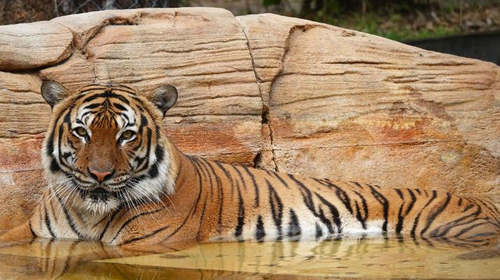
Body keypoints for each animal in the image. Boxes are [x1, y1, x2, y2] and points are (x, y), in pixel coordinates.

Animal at [0, 81, 500, 249]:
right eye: (82, 133)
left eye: (126, 134)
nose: (100, 175)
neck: (90, 210)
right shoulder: (33, 232)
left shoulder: (147, 244)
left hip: (457, 229)